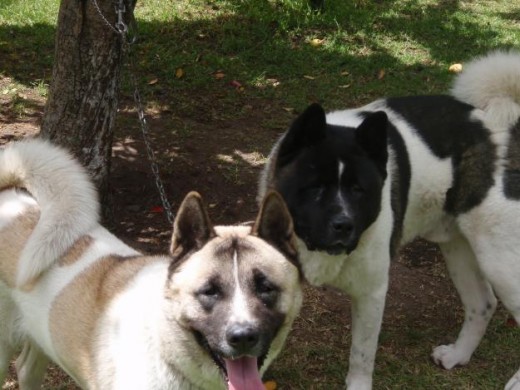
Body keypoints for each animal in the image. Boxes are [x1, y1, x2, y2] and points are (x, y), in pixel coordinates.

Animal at [258, 50, 520, 388]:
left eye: (358, 190)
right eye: (315, 187)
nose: (344, 225)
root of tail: (495, 125)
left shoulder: (371, 293)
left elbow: (361, 355)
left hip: (497, 256)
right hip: (458, 247)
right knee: (483, 303)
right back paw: (458, 355)